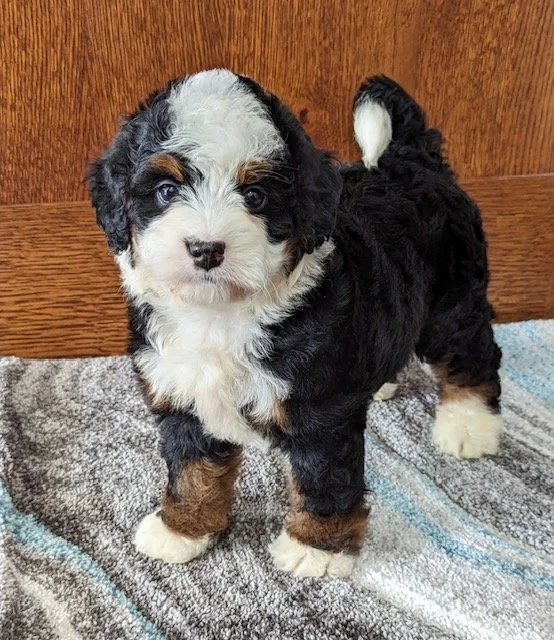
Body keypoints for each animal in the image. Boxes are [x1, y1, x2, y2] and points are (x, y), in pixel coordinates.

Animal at [89, 69, 502, 578]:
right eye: (167, 191)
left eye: (255, 196)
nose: (206, 249)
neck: (221, 313)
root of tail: (415, 161)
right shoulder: (183, 393)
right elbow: (192, 470)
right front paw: (182, 529)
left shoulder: (319, 408)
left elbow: (322, 476)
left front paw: (315, 548)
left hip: (453, 299)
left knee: (469, 353)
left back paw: (469, 427)